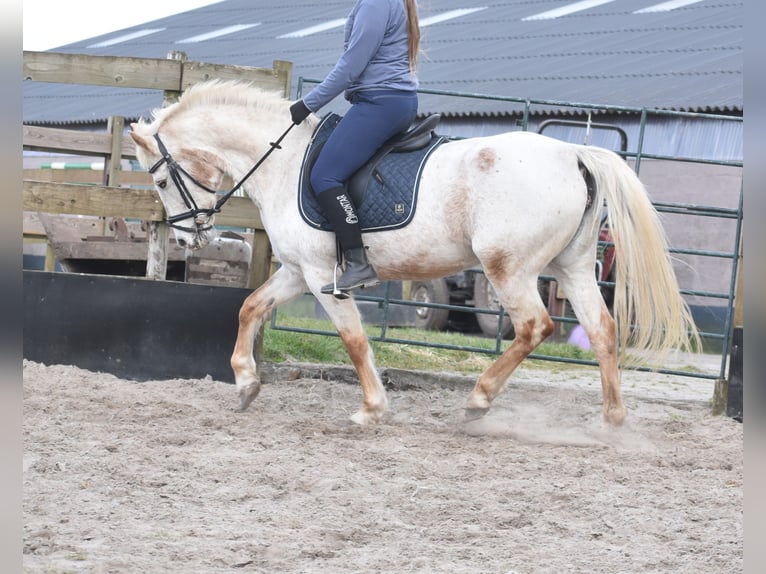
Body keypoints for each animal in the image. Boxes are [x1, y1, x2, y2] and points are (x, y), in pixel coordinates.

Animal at [132, 80, 704, 428]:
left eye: (159, 181)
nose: (185, 239)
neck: (283, 161)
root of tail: (574, 152)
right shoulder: (297, 271)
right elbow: (250, 306)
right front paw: (247, 383)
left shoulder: (322, 277)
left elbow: (354, 340)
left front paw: (371, 409)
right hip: (574, 267)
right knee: (603, 331)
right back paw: (612, 420)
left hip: (509, 269)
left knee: (534, 327)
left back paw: (478, 399)